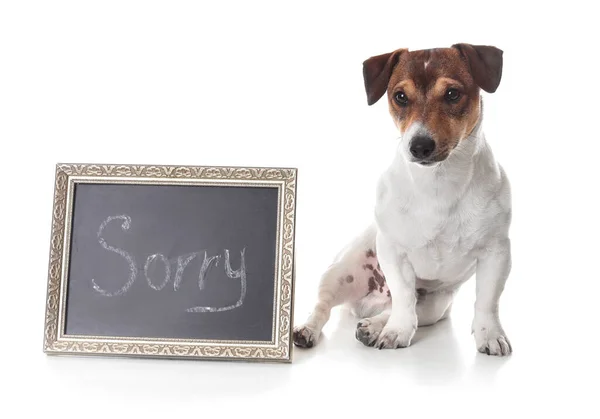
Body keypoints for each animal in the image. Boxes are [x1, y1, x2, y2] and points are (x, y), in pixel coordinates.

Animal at [292, 43, 512, 358]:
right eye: (400, 97)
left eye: (452, 94)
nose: (419, 145)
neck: (438, 183)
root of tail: (370, 302)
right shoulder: (393, 251)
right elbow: (404, 299)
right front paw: (396, 332)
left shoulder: (497, 253)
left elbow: (487, 301)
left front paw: (490, 335)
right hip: (340, 271)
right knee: (326, 306)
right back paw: (309, 329)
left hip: (436, 304)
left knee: (406, 310)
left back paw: (372, 326)